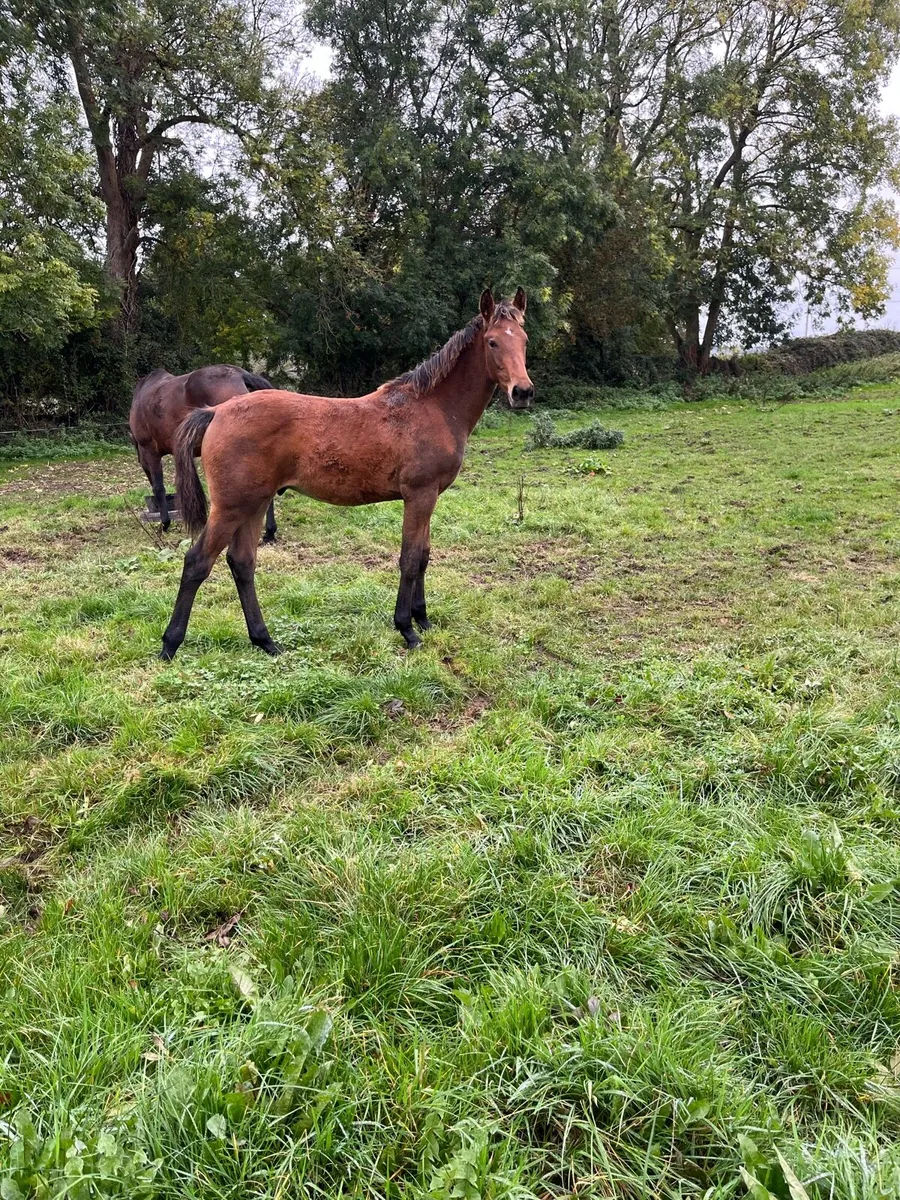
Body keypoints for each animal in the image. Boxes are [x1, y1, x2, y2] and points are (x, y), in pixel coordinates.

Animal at [158, 289, 533, 660]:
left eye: (524, 340)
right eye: (493, 342)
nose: (523, 392)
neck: (432, 407)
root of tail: (216, 411)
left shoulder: (429, 497)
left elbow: (424, 556)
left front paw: (423, 619)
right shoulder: (419, 495)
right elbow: (410, 559)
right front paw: (407, 629)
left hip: (255, 503)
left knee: (242, 563)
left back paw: (265, 641)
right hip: (231, 506)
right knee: (198, 562)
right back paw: (170, 644)